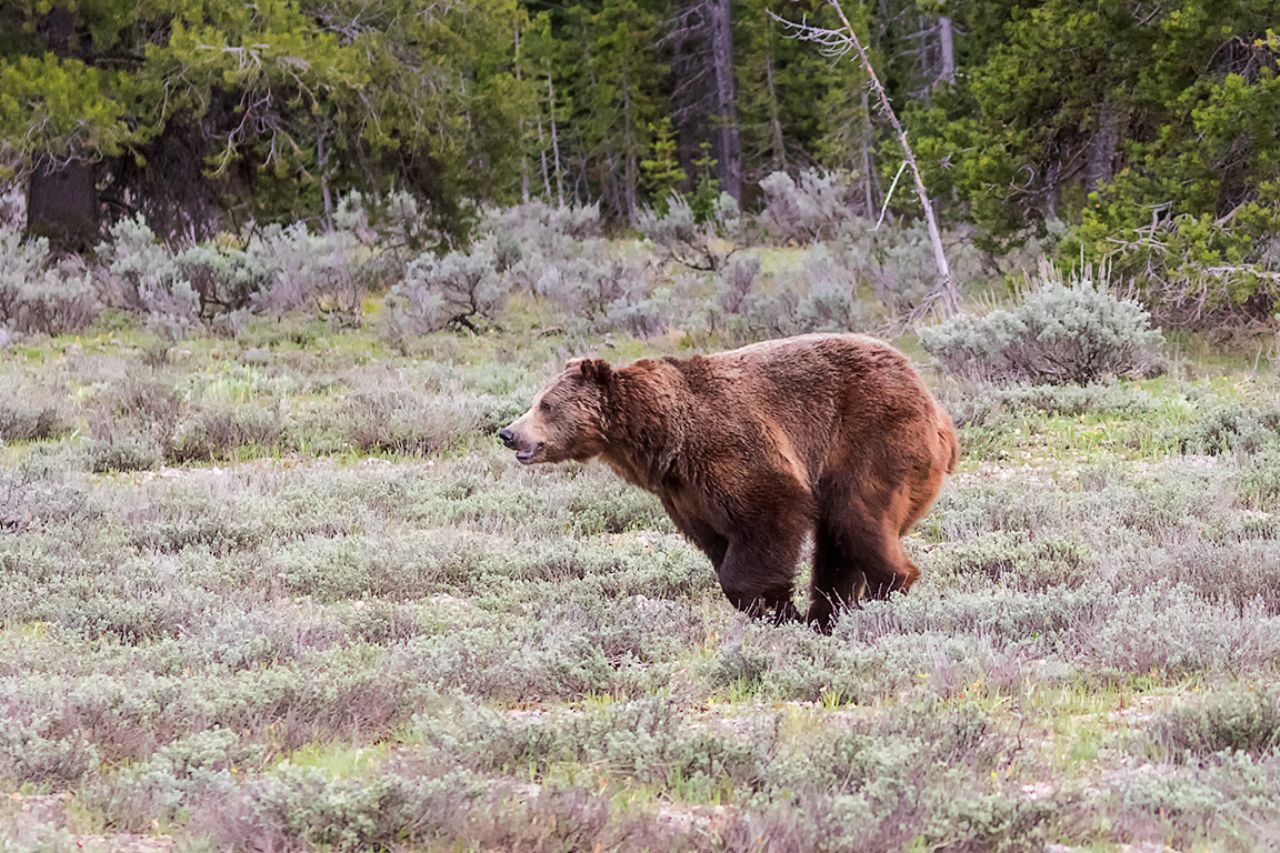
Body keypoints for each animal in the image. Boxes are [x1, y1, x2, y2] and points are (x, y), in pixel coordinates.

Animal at [498, 333, 958, 630]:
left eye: (545, 404)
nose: (508, 433)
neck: (663, 439)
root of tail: (938, 411)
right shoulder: (685, 494)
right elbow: (721, 544)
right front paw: (779, 608)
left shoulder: (731, 450)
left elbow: (771, 514)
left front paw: (770, 606)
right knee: (838, 543)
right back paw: (827, 614)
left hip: (871, 440)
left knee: (856, 518)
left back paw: (882, 598)